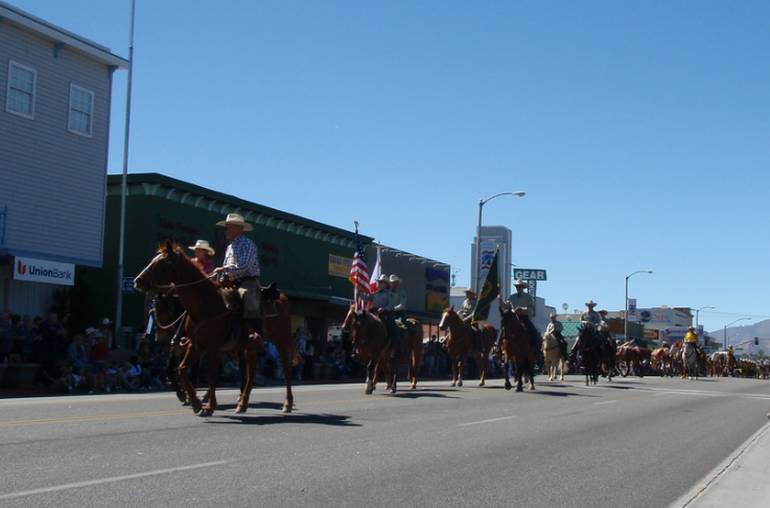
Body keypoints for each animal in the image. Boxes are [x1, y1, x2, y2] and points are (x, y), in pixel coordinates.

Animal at [134, 243, 296, 416]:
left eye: (162, 263)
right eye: (154, 310)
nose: (138, 281)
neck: (204, 305)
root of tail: (281, 297)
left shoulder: (213, 347)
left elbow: (211, 374)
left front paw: (208, 405)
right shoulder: (196, 345)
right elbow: (181, 369)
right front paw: (194, 402)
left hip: (281, 340)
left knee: (286, 369)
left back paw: (287, 403)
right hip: (248, 348)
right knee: (250, 373)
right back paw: (242, 404)